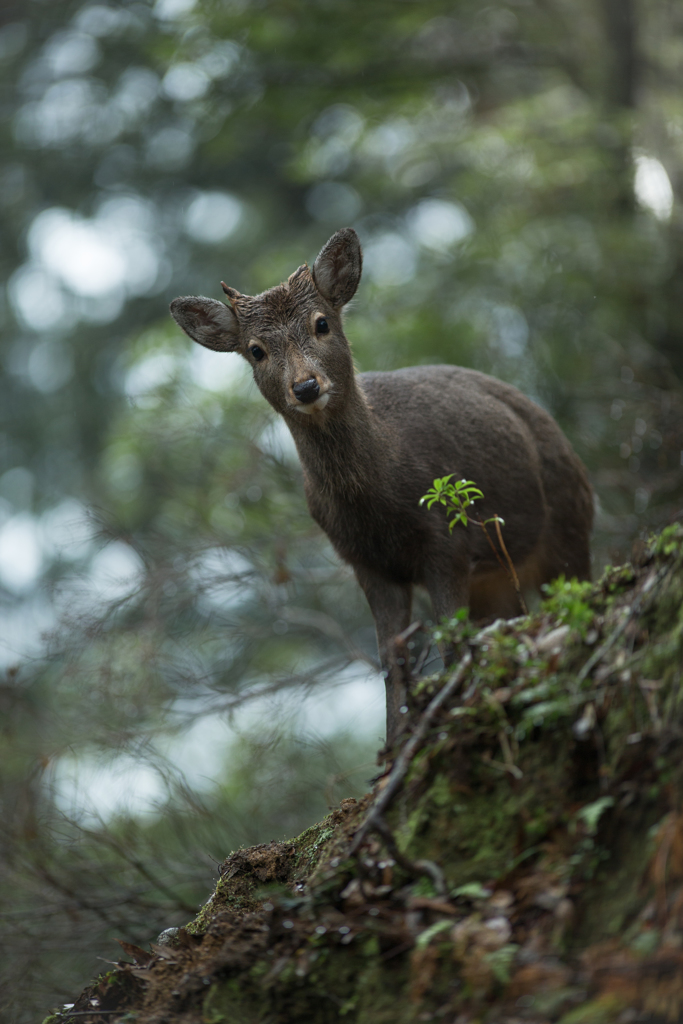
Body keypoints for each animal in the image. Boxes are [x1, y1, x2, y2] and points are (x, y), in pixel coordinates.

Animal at [171, 228, 593, 749]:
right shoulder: (365, 562)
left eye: (322, 323)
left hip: (568, 522)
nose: (306, 387)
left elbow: (451, 642)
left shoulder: (447, 543)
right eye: (255, 350)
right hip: (498, 573)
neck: (381, 496)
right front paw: (394, 746)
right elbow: (391, 662)